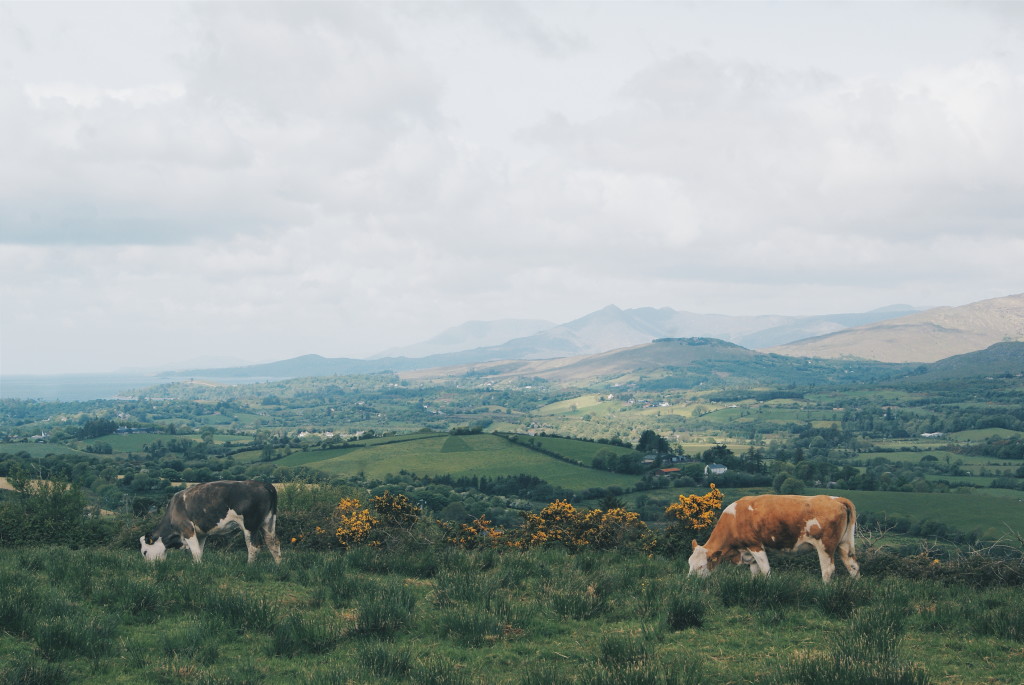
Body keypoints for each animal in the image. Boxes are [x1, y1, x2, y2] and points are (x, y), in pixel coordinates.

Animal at [140, 479, 282, 565]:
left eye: (145, 552)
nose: (149, 567)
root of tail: (264, 484)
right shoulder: (201, 534)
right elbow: (200, 550)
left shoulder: (187, 529)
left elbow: (195, 551)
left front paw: (197, 566)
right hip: (268, 522)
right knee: (273, 543)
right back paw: (278, 565)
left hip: (250, 525)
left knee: (254, 547)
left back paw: (249, 566)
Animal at [684, 491, 860, 581]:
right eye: (690, 564)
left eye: (701, 566)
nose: (690, 581)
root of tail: (836, 499)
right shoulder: (748, 553)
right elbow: (755, 572)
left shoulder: (755, 546)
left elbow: (765, 570)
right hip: (844, 544)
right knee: (853, 566)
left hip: (825, 546)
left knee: (828, 569)